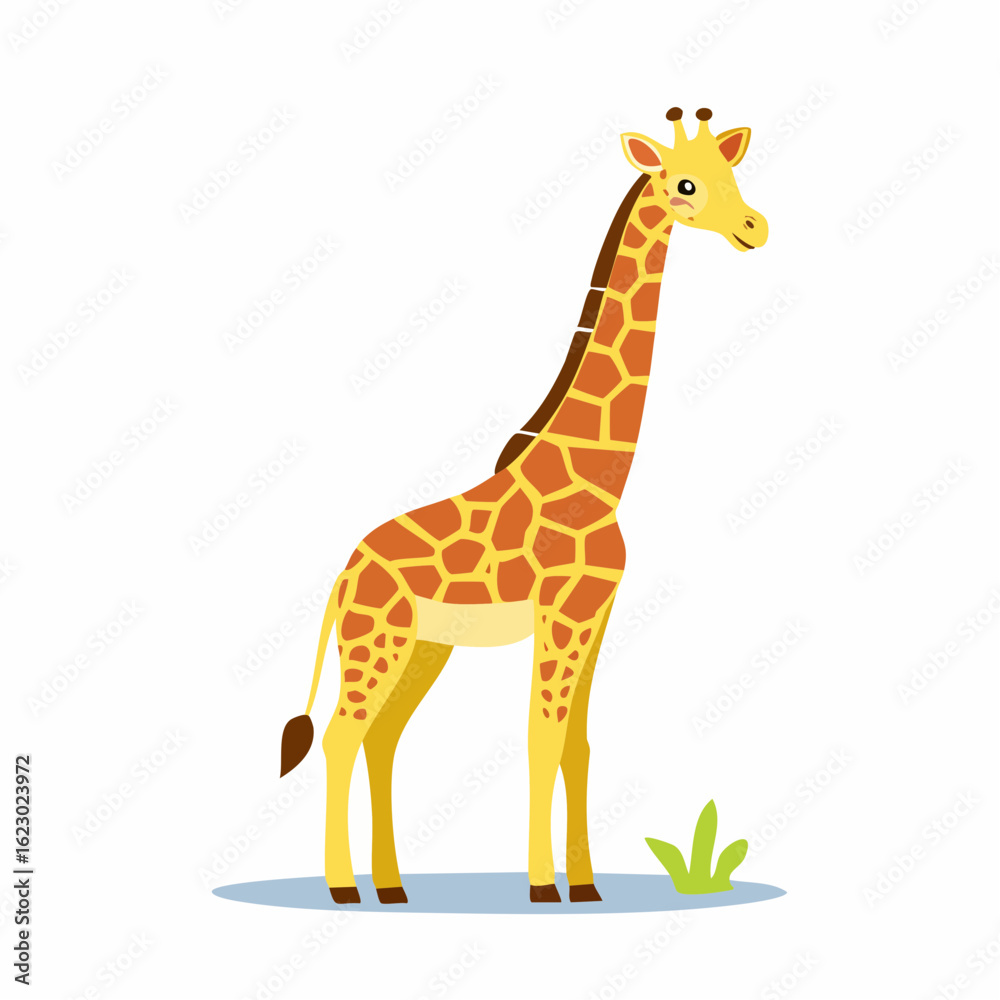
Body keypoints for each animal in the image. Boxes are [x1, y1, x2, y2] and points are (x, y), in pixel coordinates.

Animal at [279, 107, 768, 905]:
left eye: (732, 174)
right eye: (685, 184)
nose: (756, 227)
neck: (603, 478)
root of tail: (344, 575)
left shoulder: (596, 614)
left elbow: (579, 744)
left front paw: (587, 886)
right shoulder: (560, 613)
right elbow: (542, 738)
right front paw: (543, 887)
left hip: (425, 646)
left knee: (383, 739)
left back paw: (393, 887)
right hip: (377, 641)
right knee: (342, 736)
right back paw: (345, 888)